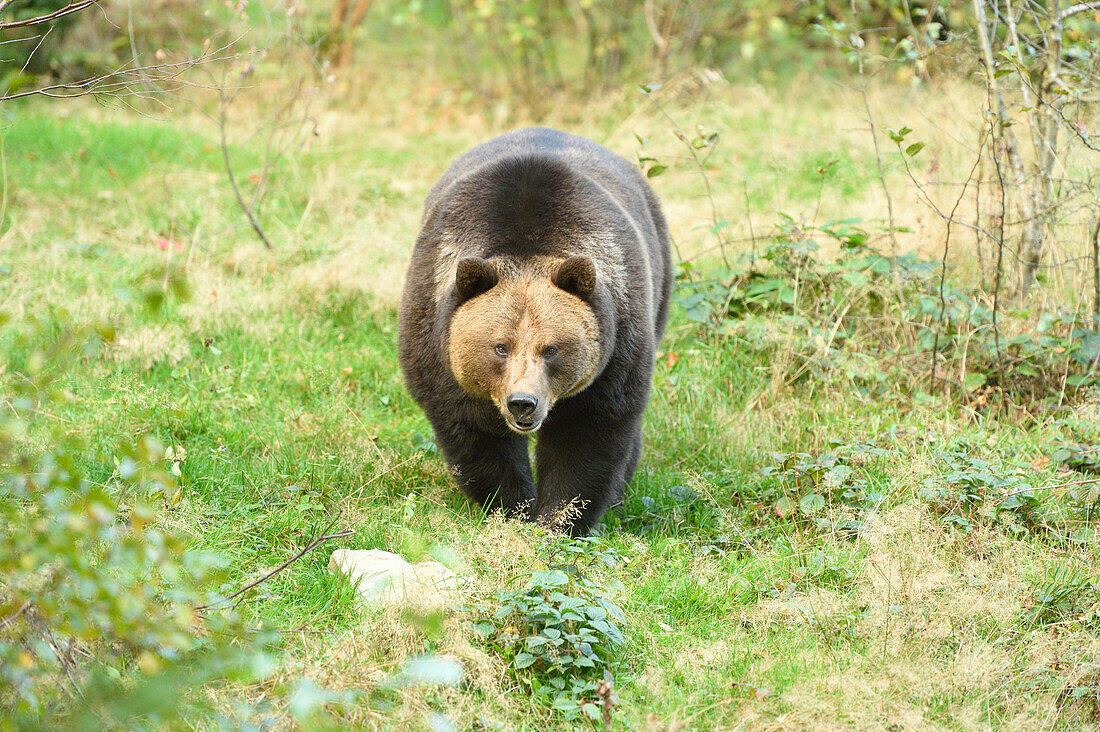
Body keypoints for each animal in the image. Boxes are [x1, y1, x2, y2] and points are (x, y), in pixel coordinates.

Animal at [396, 128, 668, 534]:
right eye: (500, 347)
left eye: (551, 349)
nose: (523, 403)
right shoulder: (436, 341)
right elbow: (479, 437)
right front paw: (514, 508)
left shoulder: (616, 347)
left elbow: (586, 435)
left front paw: (559, 520)